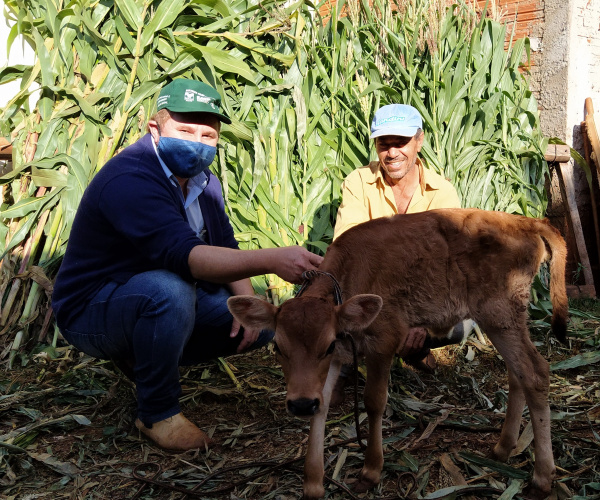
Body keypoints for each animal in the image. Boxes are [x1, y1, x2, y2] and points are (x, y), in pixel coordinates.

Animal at [229, 208, 568, 500]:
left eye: (326, 344)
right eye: (278, 347)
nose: (299, 404)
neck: (349, 276)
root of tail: (528, 221)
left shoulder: (383, 340)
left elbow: (374, 401)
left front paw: (370, 470)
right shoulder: (338, 357)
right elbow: (322, 406)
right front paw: (313, 483)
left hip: (500, 312)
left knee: (535, 372)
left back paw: (541, 477)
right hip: (503, 318)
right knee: (517, 373)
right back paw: (503, 448)